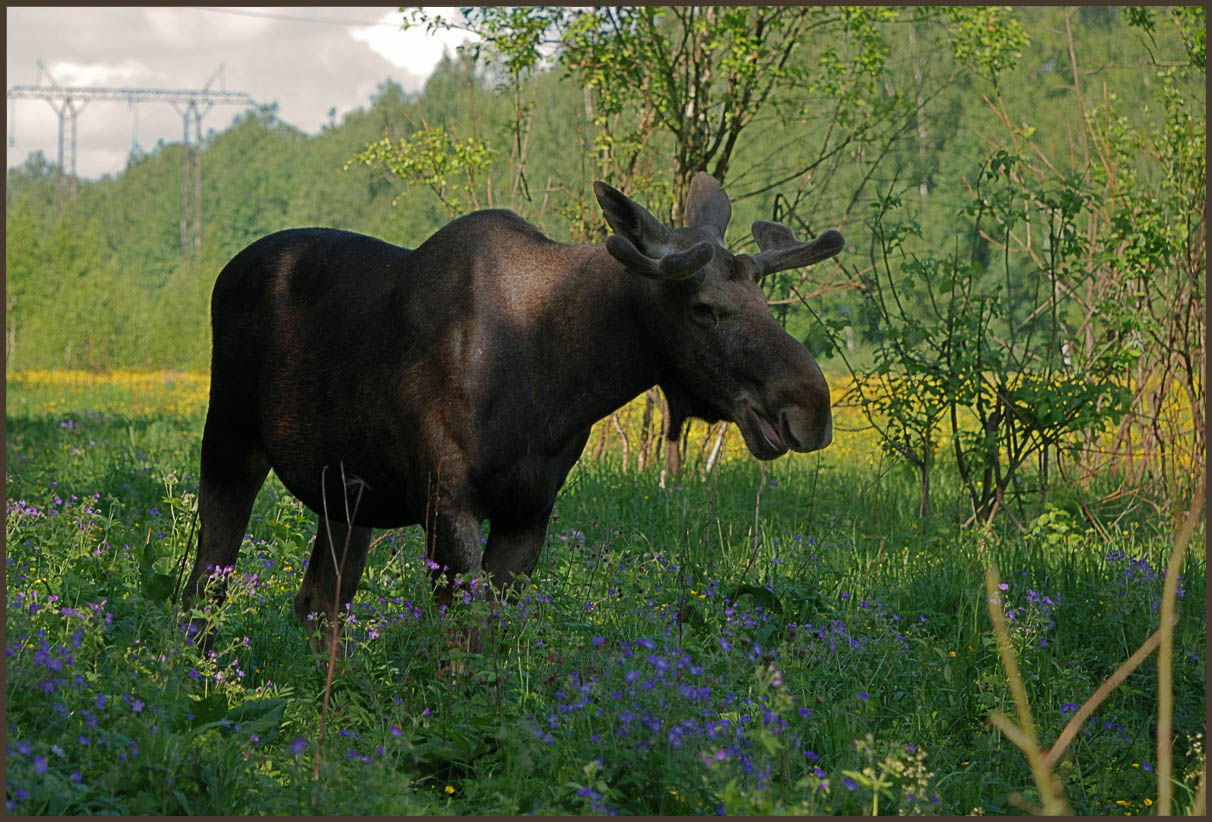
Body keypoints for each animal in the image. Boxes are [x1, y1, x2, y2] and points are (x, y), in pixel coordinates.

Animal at [181, 172, 843, 649]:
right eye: (703, 308)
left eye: (763, 297)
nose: (810, 407)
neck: (559, 383)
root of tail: (223, 271)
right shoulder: (447, 500)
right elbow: (460, 645)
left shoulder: (530, 510)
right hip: (230, 440)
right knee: (204, 584)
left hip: (347, 493)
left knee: (318, 603)